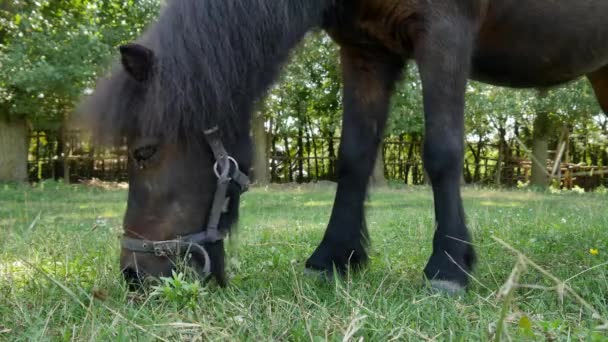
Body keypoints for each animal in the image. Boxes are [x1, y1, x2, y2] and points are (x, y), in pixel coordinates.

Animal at [81, 0, 608, 294]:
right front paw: (334, 258)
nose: (133, 276)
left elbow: (441, 151)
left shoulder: (444, 32)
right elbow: (352, 157)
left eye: (143, 152)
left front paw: (449, 266)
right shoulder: (364, 49)